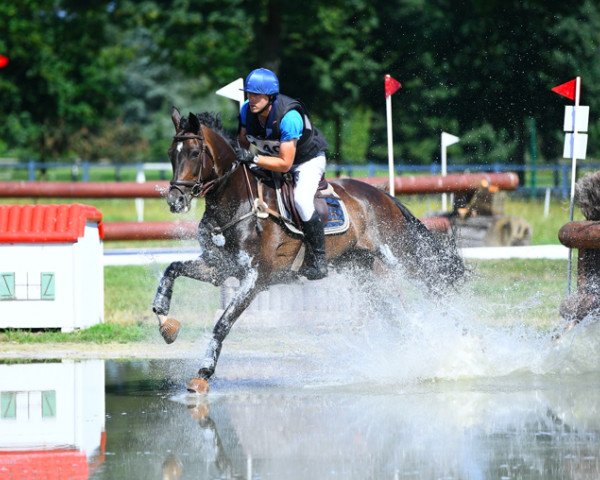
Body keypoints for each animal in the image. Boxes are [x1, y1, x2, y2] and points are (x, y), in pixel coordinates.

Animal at [152, 107, 466, 392]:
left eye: (194, 153)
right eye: (170, 153)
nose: (175, 201)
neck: (237, 204)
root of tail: (382, 195)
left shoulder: (255, 278)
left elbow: (222, 323)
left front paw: (203, 375)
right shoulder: (219, 268)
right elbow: (172, 270)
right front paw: (165, 321)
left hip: (400, 258)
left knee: (435, 287)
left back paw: (461, 344)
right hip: (361, 271)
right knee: (396, 315)